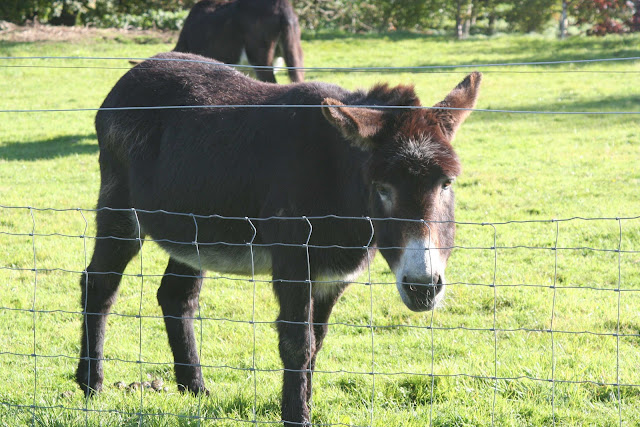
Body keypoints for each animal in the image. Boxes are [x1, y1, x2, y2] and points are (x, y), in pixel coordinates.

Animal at [76, 51, 481, 426]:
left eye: (446, 184)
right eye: (382, 188)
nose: (422, 288)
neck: (337, 175)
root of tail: (138, 69)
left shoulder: (332, 275)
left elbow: (316, 342)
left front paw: (305, 405)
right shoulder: (293, 262)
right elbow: (296, 342)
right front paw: (296, 416)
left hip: (191, 231)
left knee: (176, 296)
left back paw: (195, 388)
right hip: (120, 210)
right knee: (99, 284)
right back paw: (90, 383)